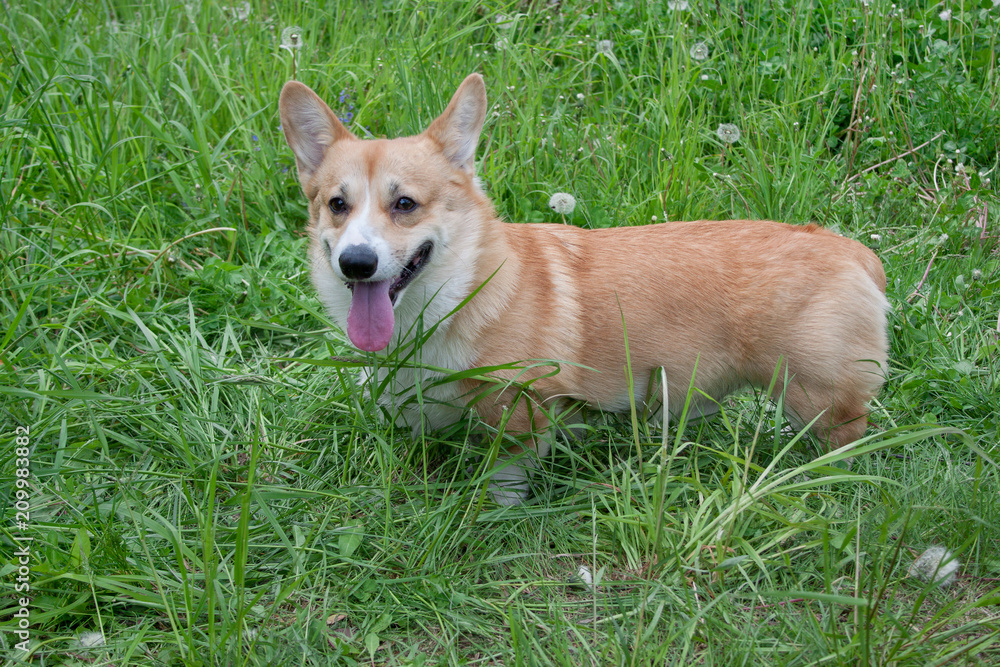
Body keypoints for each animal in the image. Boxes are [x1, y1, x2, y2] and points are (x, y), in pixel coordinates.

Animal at [278, 72, 888, 500]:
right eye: (337, 204)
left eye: (404, 204)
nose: (356, 263)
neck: (450, 300)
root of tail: (855, 252)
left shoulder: (520, 408)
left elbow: (505, 476)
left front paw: (498, 512)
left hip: (817, 401)